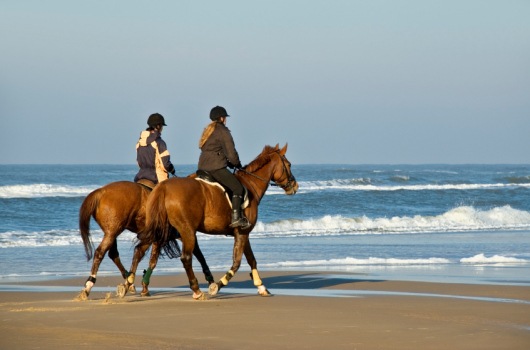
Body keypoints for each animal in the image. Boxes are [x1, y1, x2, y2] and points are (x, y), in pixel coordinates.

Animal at [76, 180, 212, 300]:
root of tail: (101, 191)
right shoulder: (180, 235)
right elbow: (197, 255)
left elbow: (145, 256)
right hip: (112, 232)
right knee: (100, 253)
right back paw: (89, 285)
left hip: (111, 233)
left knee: (113, 254)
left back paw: (128, 281)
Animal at [137, 144, 296, 300]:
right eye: (288, 164)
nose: (294, 185)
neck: (250, 185)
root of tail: (164, 187)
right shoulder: (242, 233)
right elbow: (237, 263)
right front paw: (217, 285)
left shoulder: (244, 233)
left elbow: (252, 259)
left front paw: (261, 286)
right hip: (187, 231)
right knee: (185, 258)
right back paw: (196, 290)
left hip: (165, 230)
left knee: (152, 254)